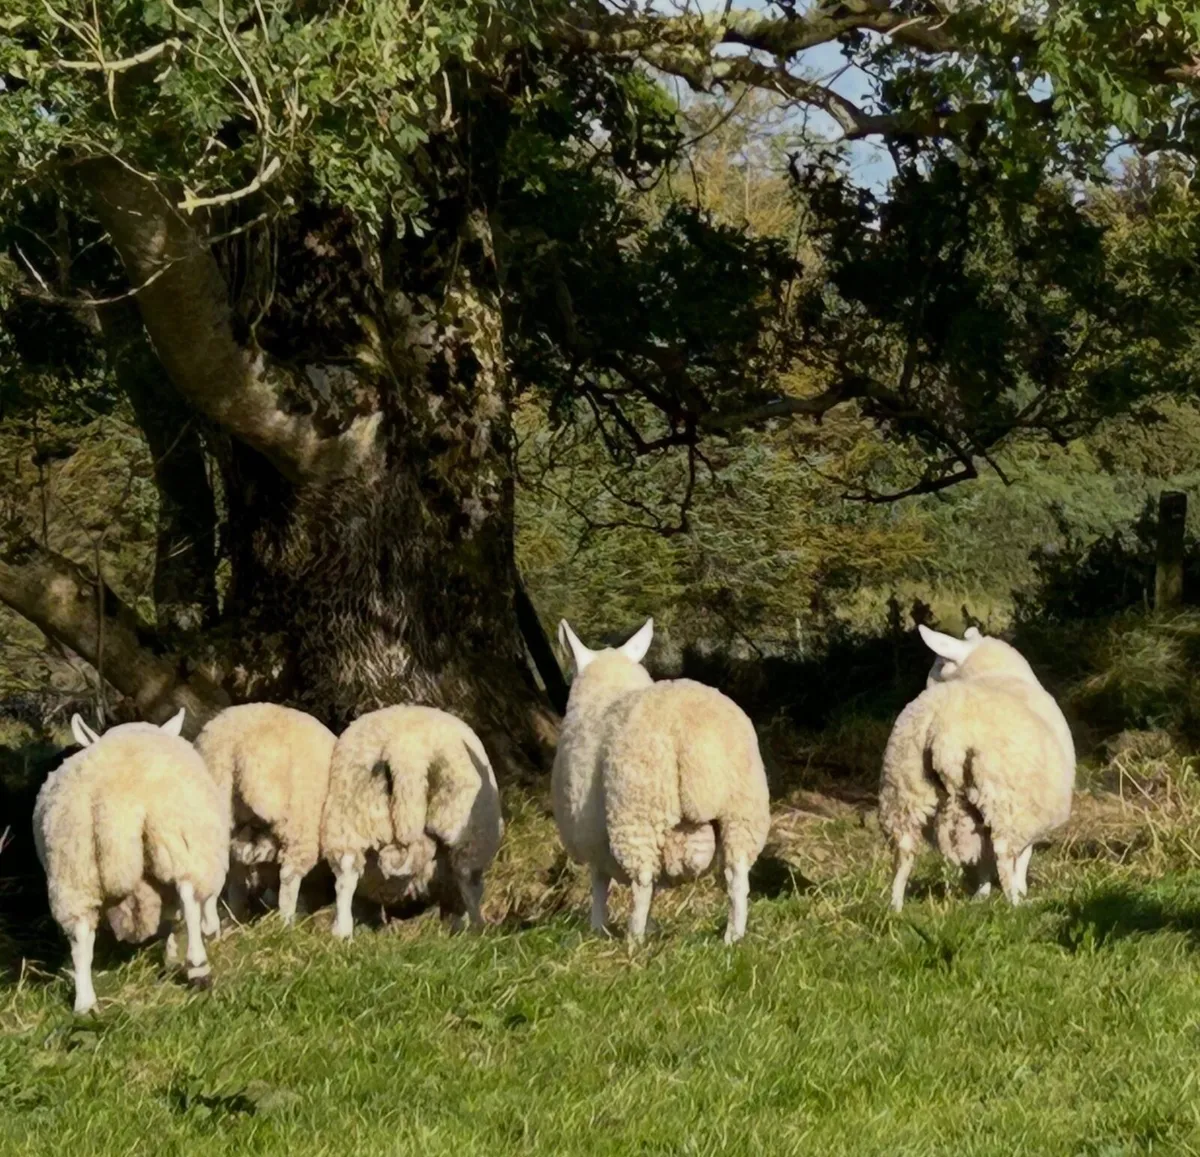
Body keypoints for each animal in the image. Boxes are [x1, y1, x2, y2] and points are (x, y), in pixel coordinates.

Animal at [32, 710, 228, 1013]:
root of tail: (113, 803)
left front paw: (171, 954)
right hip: (175, 837)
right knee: (188, 894)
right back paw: (199, 967)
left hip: (73, 869)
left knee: (80, 935)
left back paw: (85, 1004)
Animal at [193, 703, 337, 927]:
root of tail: (240, 749)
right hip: (298, 824)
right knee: (289, 874)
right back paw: (286, 923)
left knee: (230, 875)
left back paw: (232, 922)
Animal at [320, 705, 504, 940]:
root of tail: (406, 753)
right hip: (462, 826)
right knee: (466, 877)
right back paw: (477, 930)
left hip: (351, 817)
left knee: (346, 873)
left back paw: (342, 933)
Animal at [552, 618, 771, 944]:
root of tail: (694, 738)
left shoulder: (592, 835)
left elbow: (599, 883)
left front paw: (598, 928)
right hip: (742, 813)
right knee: (737, 875)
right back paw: (733, 936)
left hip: (637, 813)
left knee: (642, 882)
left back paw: (635, 939)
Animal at [879, 625, 1075, 912]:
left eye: (939, 664)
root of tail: (946, 732)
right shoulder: (1030, 811)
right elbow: (1022, 855)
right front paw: (1018, 888)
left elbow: (982, 857)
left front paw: (981, 894)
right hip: (1005, 801)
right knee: (1004, 853)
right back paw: (1015, 903)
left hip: (904, 791)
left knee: (903, 854)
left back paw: (895, 908)